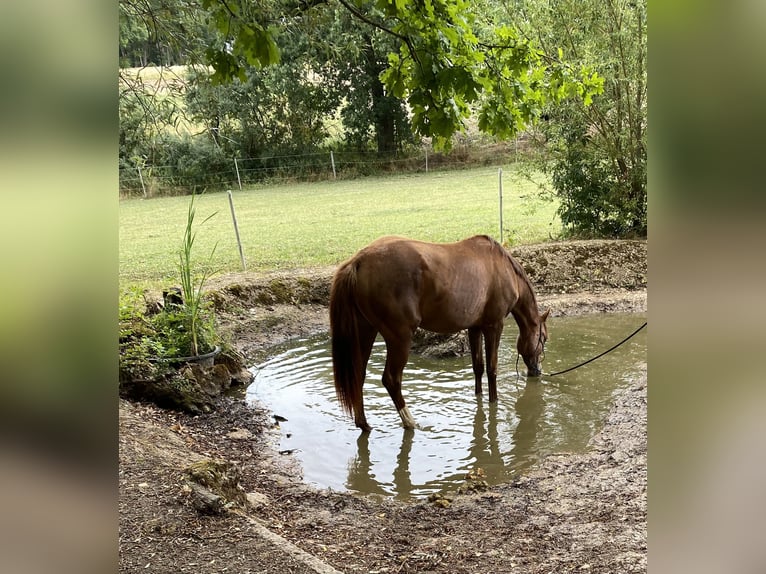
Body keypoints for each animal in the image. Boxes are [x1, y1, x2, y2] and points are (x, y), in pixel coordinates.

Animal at [332, 235, 548, 432]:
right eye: (543, 339)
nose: (537, 371)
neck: (503, 268)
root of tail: (358, 261)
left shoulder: (474, 328)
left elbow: (478, 367)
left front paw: (478, 398)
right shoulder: (493, 326)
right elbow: (492, 370)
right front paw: (493, 403)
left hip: (366, 332)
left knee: (358, 375)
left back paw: (364, 424)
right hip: (399, 338)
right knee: (391, 380)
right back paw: (410, 422)